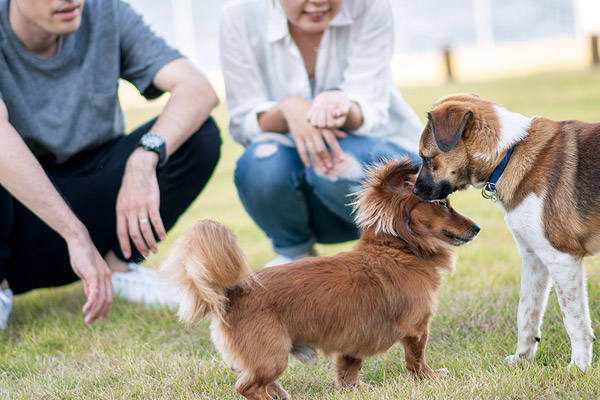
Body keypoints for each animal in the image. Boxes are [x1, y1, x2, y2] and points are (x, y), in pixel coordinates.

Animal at [159, 159, 478, 400]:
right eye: (445, 204)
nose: (477, 227)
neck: (399, 249)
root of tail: (230, 293)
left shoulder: (355, 338)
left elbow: (349, 368)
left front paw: (356, 389)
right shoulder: (417, 328)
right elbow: (416, 359)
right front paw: (429, 377)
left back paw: (281, 394)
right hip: (273, 355)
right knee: (248, 387)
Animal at [412, 94, 600, 372]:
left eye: (426, 159)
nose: (414, 191)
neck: (510, 153)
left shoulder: (562, 259)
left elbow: (574, 320)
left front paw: (578, 367)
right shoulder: (533, 258)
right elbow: (526, 313)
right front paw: (522, 358)